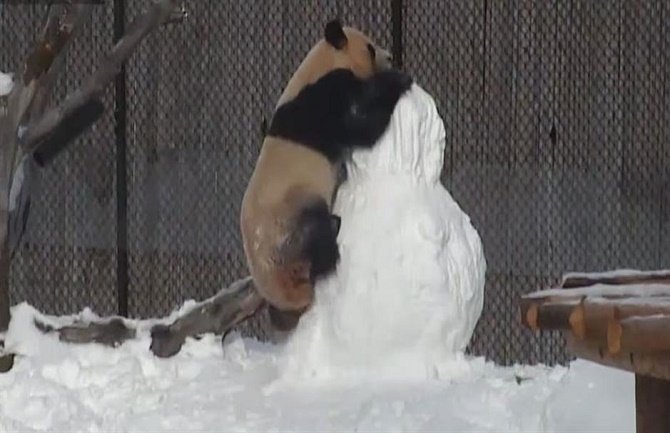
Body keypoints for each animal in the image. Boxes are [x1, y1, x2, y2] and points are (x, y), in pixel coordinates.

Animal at [239, 17, 412, 328]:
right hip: (289, 220)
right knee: (317, 236)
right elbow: (361, 126)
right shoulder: (324, 100)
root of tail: (275, 284)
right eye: (370, 48)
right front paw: (397, 80)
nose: (391, 57)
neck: (322, 64)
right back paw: (331, 240)